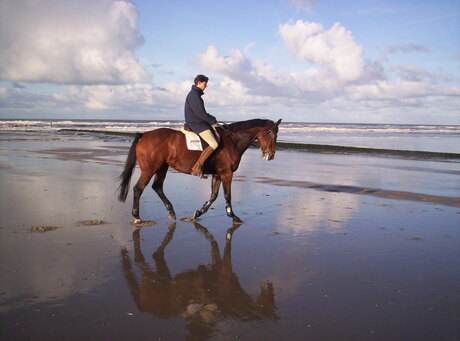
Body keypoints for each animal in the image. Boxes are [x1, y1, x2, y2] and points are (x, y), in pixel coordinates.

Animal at [117, 118, 282, 224]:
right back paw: (137, 217)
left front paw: (197, 213)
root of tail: (144, 134)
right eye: (272, 134)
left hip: (162, 167)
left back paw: (171, 211)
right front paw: (233, 216)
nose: (271, 155)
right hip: (149, 169)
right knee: (138, 189)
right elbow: (227, 195)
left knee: (157, 187)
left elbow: (213, 196)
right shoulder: (226, 173)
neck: (232, 141)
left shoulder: (217, 174)